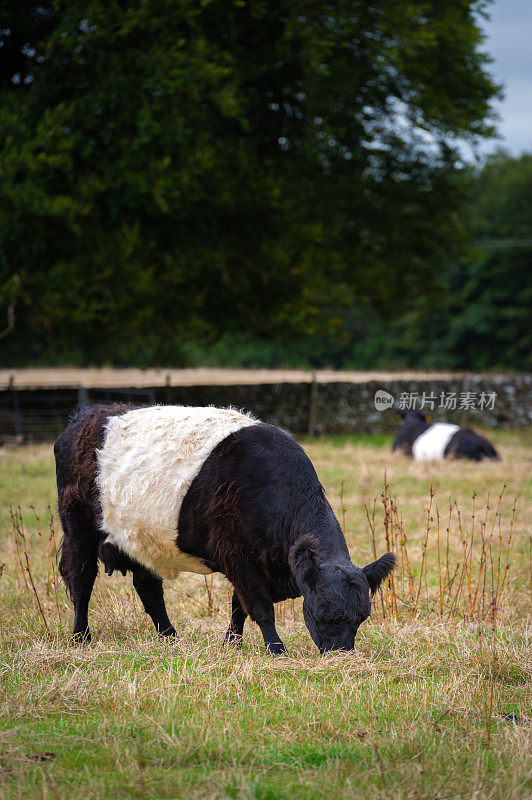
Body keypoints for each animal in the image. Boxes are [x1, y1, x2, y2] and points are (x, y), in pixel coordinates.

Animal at [55, 404, 394, 652]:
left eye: (362, 617)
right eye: (325, 610)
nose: (342, 654)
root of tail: (85, 416)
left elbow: (238, 606)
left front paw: (232, 644)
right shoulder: (237, 555)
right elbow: (258, 605)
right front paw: (276, 649)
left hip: (140, 539)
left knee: (148, 588)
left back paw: (171, 637)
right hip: (78, 528)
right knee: (81, 580)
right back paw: (80, 637)